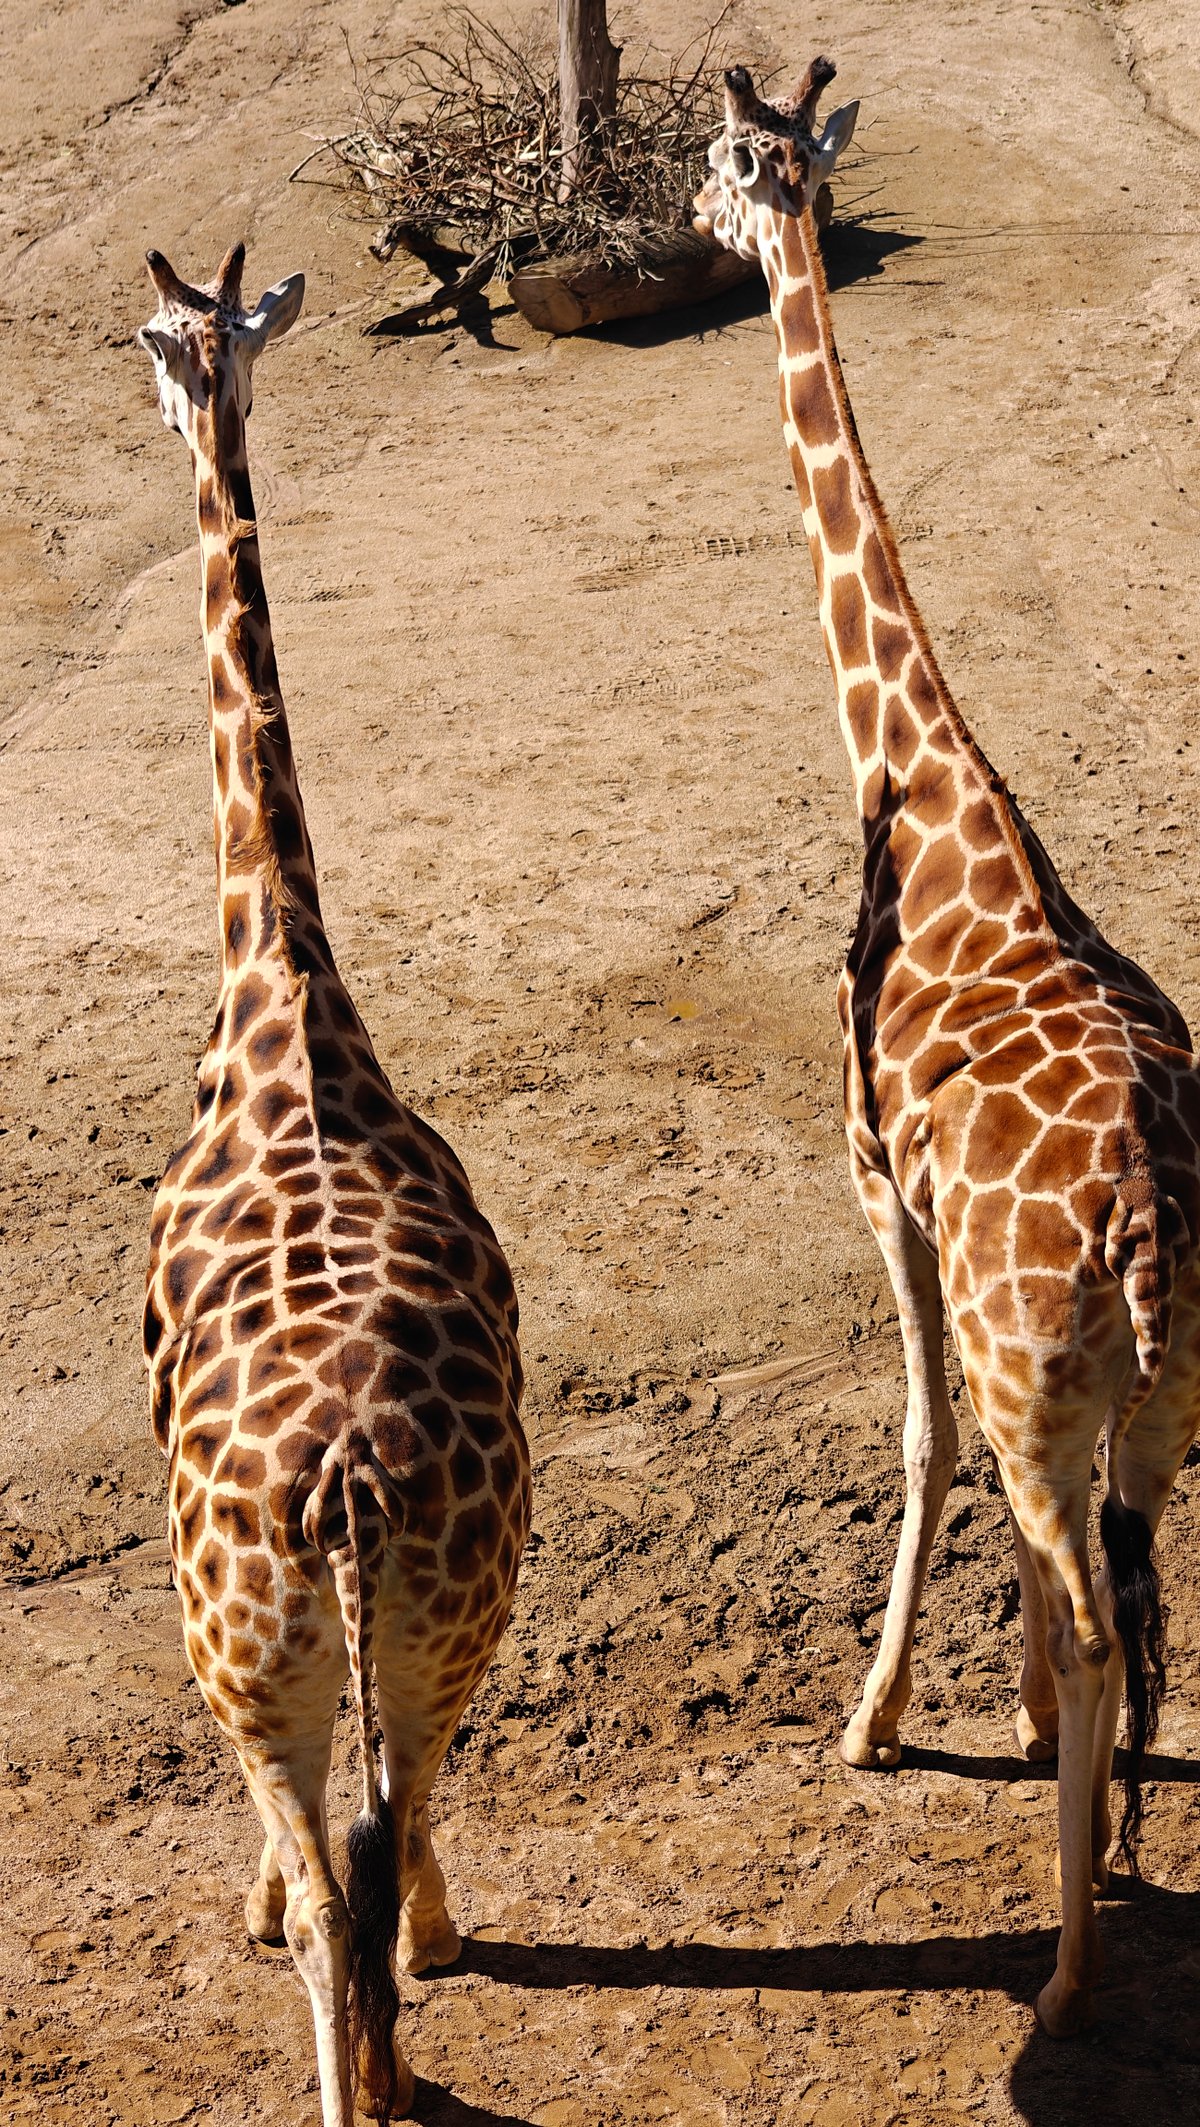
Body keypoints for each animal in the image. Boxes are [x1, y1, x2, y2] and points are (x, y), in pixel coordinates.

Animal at [697, 61, 1200, 2034]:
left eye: (719, 162)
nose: (703, 224)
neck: (928, 796)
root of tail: (1141, 1221)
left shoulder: (874, 1190)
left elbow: (909, 1440)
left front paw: (875, 1722)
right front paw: (1008, 1712)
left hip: (1058, 1383)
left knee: (1101, 1603)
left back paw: (1064, 1973)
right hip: (1160, 1395)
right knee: (1144, 1589)